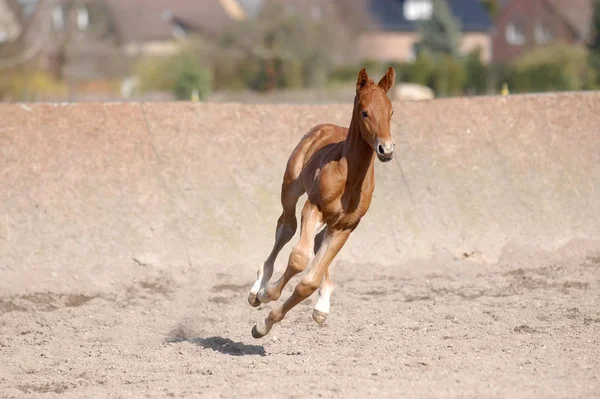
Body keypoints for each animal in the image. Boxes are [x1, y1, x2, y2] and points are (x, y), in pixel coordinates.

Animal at [246, 67, 396, 340]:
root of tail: (323, 127)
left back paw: (322, 304)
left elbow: (308, 282)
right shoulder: (313, 208)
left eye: (391, 111)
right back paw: (258, 287)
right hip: (290, 190)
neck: (349, 177)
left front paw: (264, 325)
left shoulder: (346, 226)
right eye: (364, 112)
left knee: (315, 240)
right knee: (286, 227)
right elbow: (298, 258)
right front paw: (265, 293)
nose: (386, 149)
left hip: (329, 221)